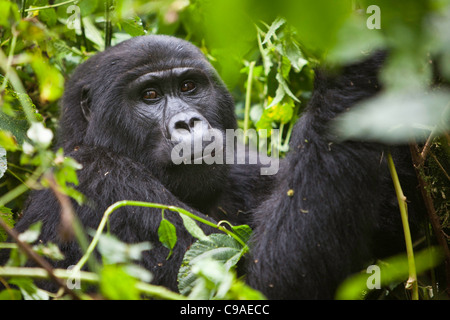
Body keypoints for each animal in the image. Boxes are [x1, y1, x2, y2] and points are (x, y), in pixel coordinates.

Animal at [0, 34, 422, 298]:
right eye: (150, 95)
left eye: (189, 87)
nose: (188, 122)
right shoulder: (98, 180)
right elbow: (259, 281)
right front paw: (354, 73)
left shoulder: (245, 164)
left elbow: (402, 235)